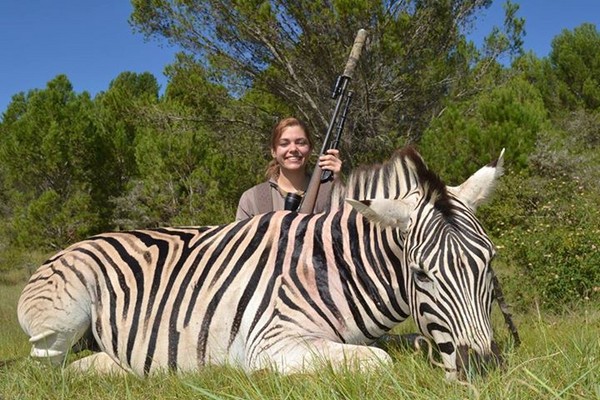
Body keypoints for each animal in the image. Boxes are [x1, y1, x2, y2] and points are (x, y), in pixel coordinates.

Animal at [17, 147, 506, 378]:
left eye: (488, 263)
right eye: (422, 274)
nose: (483, 367)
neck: (335, 269)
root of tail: (64, 249)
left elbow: (411, 344)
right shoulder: (271, 341)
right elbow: (380, 361)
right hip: (61, 321)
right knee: (48, 366)